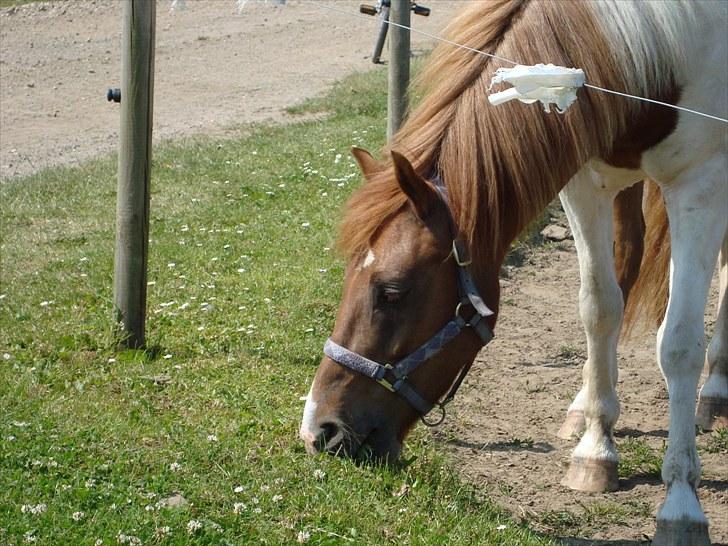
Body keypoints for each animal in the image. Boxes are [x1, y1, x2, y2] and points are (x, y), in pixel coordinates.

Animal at [299, 2, 727, 544]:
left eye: (391, 292)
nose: (319, 430)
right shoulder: (584, 176)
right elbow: (599, 308)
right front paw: (595, 448)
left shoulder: (703, 185)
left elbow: (679, 345)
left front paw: (681, 503)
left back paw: (715, 393)